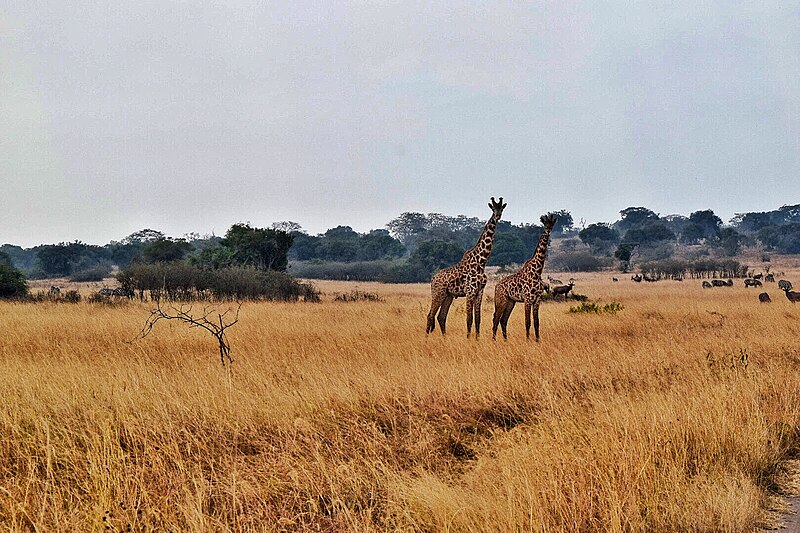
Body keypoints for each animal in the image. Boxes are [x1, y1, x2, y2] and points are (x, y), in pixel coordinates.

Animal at [424, 195, 506, 336]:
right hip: (438, 293)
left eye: (501, 208)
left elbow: (478, 319)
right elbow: (469, 318)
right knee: (430, 315)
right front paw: (469, 338)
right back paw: (426, 338)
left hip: (448, 295)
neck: (481, 262)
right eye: (492, 208)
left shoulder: (479, 291)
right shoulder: (470, 291)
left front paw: (477, 338)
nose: (498, 216)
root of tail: (433, 279)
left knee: (441, 316)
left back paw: (444, 338)